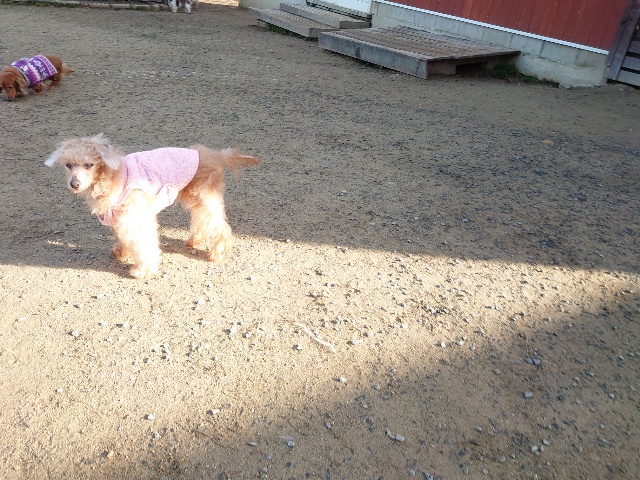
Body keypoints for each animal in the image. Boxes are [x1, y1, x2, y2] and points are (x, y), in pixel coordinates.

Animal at [45, 134, 259, 279]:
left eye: (89, 165)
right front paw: (120, 252)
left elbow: (143, 244)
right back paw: (194, 240)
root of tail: (215, 155)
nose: (74, 184)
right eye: (68, 165)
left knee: (219, 226)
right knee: (202, 220)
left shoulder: (135, 219)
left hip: (204, 196)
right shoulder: (119, 217)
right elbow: (123, 238)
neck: (110, 177)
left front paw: (142, 270)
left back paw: (216, 252)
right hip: (195, 198)